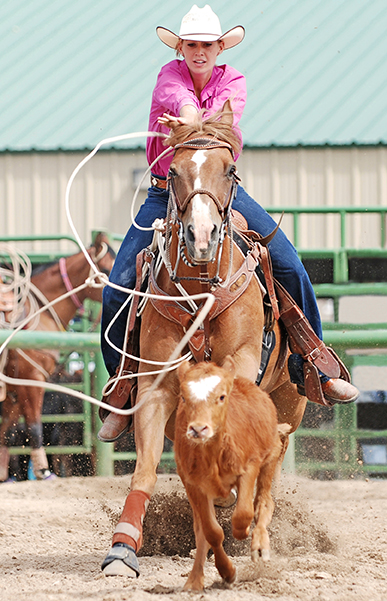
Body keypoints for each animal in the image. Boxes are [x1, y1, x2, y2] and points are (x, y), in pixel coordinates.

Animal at [0, 232, 115, 480]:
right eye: (106, 269)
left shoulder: (15, 388)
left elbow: (6, 431)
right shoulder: (32, 381)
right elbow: (34, 427)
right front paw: (43, 471)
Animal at [176, 356, 284, 592]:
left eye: (221, 396)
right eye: (183, 397)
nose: (198, 429)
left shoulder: (249, 468)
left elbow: (243, 513)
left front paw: (242, 533)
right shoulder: (194, 485)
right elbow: (211, 531)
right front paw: (227, 572)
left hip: (271, 457)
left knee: (264, 503)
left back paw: (260, 545)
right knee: (200, 530)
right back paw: (194, 580)